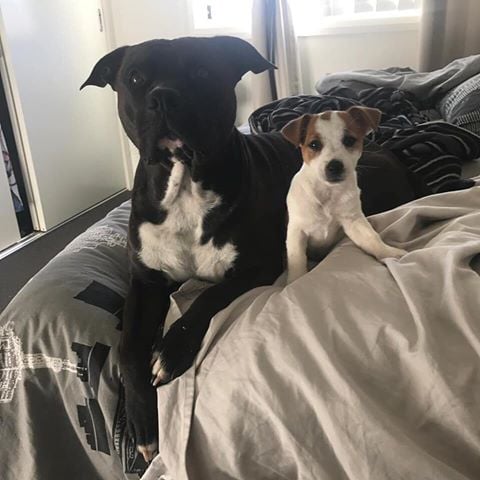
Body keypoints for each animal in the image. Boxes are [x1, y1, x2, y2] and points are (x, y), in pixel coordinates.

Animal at [282, 107, 404, 284]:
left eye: (349, 140)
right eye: (314, 144)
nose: (334, 166)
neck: (327, 191)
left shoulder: (353, 222)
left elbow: (371, 239)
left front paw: (389, 253)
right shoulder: (297, 231)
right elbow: (297, 259)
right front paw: (295, 281)